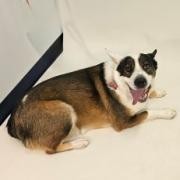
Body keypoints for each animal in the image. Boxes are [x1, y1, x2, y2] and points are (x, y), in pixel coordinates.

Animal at [6, 49, 176, 153]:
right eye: (128, 69)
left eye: (147, 66)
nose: (140, 82)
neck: (121, 84)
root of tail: (14, 118)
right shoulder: (122, 122)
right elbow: (148, 112)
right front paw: (167, 111)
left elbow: (149, 95)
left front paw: (157, 91)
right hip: (63, 108)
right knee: (51, 149)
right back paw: (79, 143)